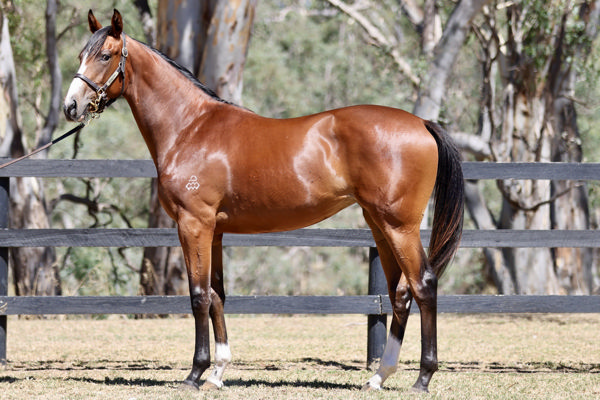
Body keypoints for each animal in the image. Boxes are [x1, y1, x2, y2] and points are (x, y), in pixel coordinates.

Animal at [63, 9, 464, 394]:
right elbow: (217, 295)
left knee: (423, 285)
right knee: (401, 292)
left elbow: (198, 296)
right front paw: (218, 373)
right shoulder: (215, 231)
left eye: (105, 55)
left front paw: (195, 374)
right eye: (81, 54)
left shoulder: (193, 224)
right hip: (379, 225)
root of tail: (422, 123)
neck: (190, 127)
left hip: (399, 226)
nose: (71, 106)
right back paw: (379, 377)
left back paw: (422, 378)